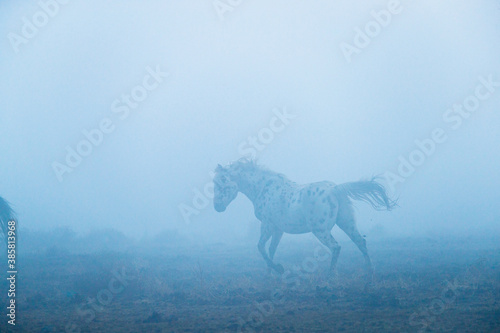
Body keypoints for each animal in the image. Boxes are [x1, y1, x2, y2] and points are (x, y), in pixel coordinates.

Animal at [213, 160, 396, 278]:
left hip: (320, 230)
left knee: (336, 247)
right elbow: (271, 249)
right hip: (347, 224)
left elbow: (260, 247)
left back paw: (331, 275)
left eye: (221, 182)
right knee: (361, 243)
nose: (217, 207)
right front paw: (270, 273)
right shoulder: (278, 229)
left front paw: (278, 269)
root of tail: (335, 189)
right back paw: (370, 272)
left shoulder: (267, 225)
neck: (263, 188)